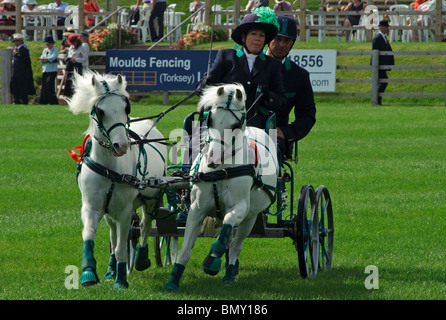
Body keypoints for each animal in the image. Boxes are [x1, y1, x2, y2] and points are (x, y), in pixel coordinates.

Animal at [68, 71, 167, 288]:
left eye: (125, 107)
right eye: (100, 111)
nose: (121, 145)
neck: (109, 168)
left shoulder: (124, 210)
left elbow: (123, 247)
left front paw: (121, 280)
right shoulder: (91, 206)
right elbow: (89, 235)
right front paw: (89, 273)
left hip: (152, 199)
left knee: (146, 225)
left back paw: (141, 259)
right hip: (109, 209)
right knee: (113, 234)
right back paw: (111, 268)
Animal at [164, 83, 278, 292]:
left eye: (234, 126)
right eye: (209, 120)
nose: (213, 159)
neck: (221, 170)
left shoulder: (240, 208)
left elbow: (226, 230)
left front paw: (211, 261)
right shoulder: (196, 210)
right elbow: (185, 249)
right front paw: (173, 280)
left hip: (251, 217)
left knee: (235, 245)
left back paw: (230, 273)